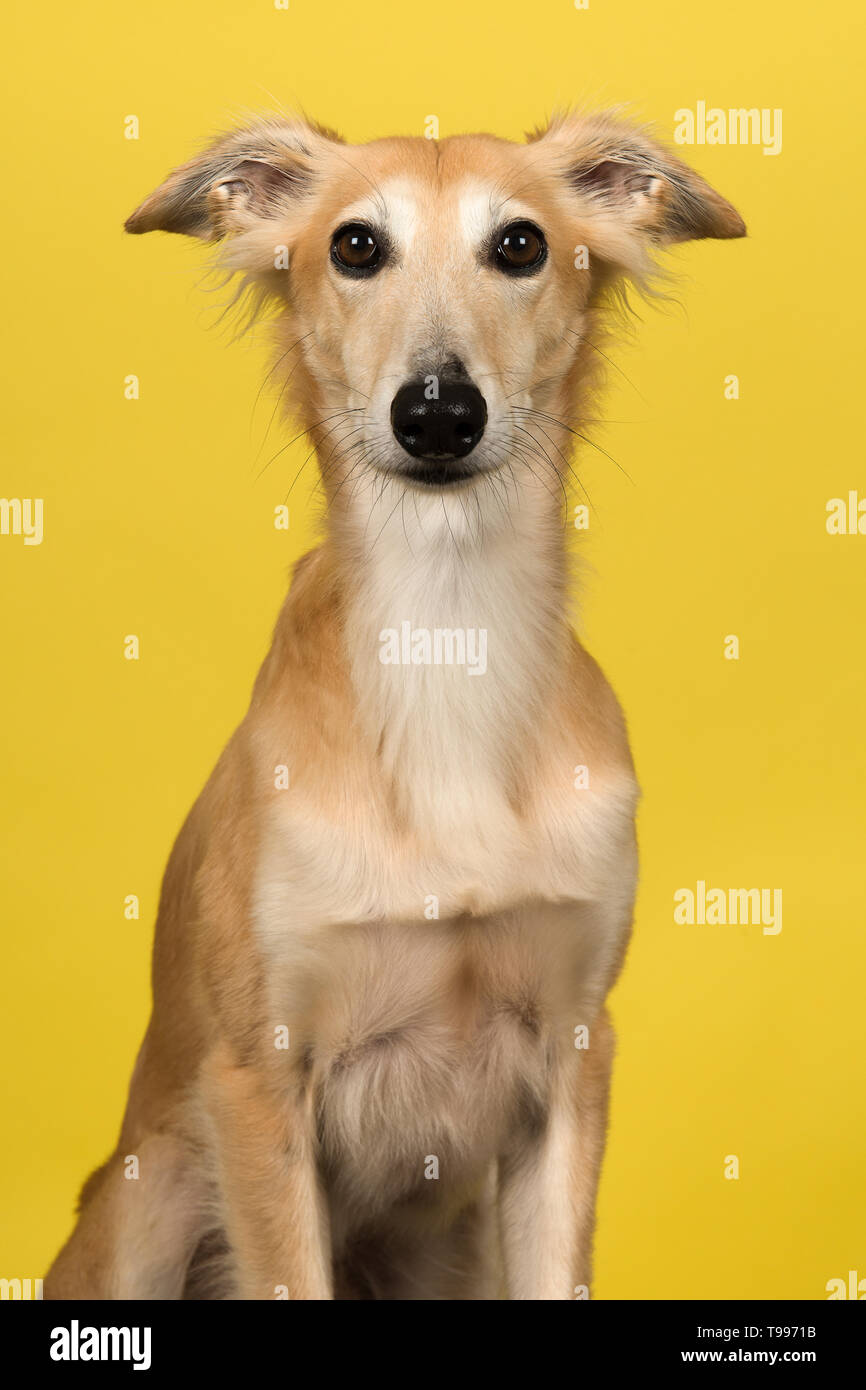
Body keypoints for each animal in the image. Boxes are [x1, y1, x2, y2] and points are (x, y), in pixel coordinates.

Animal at [44, 108, 739, 1301]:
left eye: (520, 245)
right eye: (356, 247)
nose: (438, 415)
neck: (445, 630)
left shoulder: (573, 1059)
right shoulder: (256, 1077)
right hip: (155, 1189)